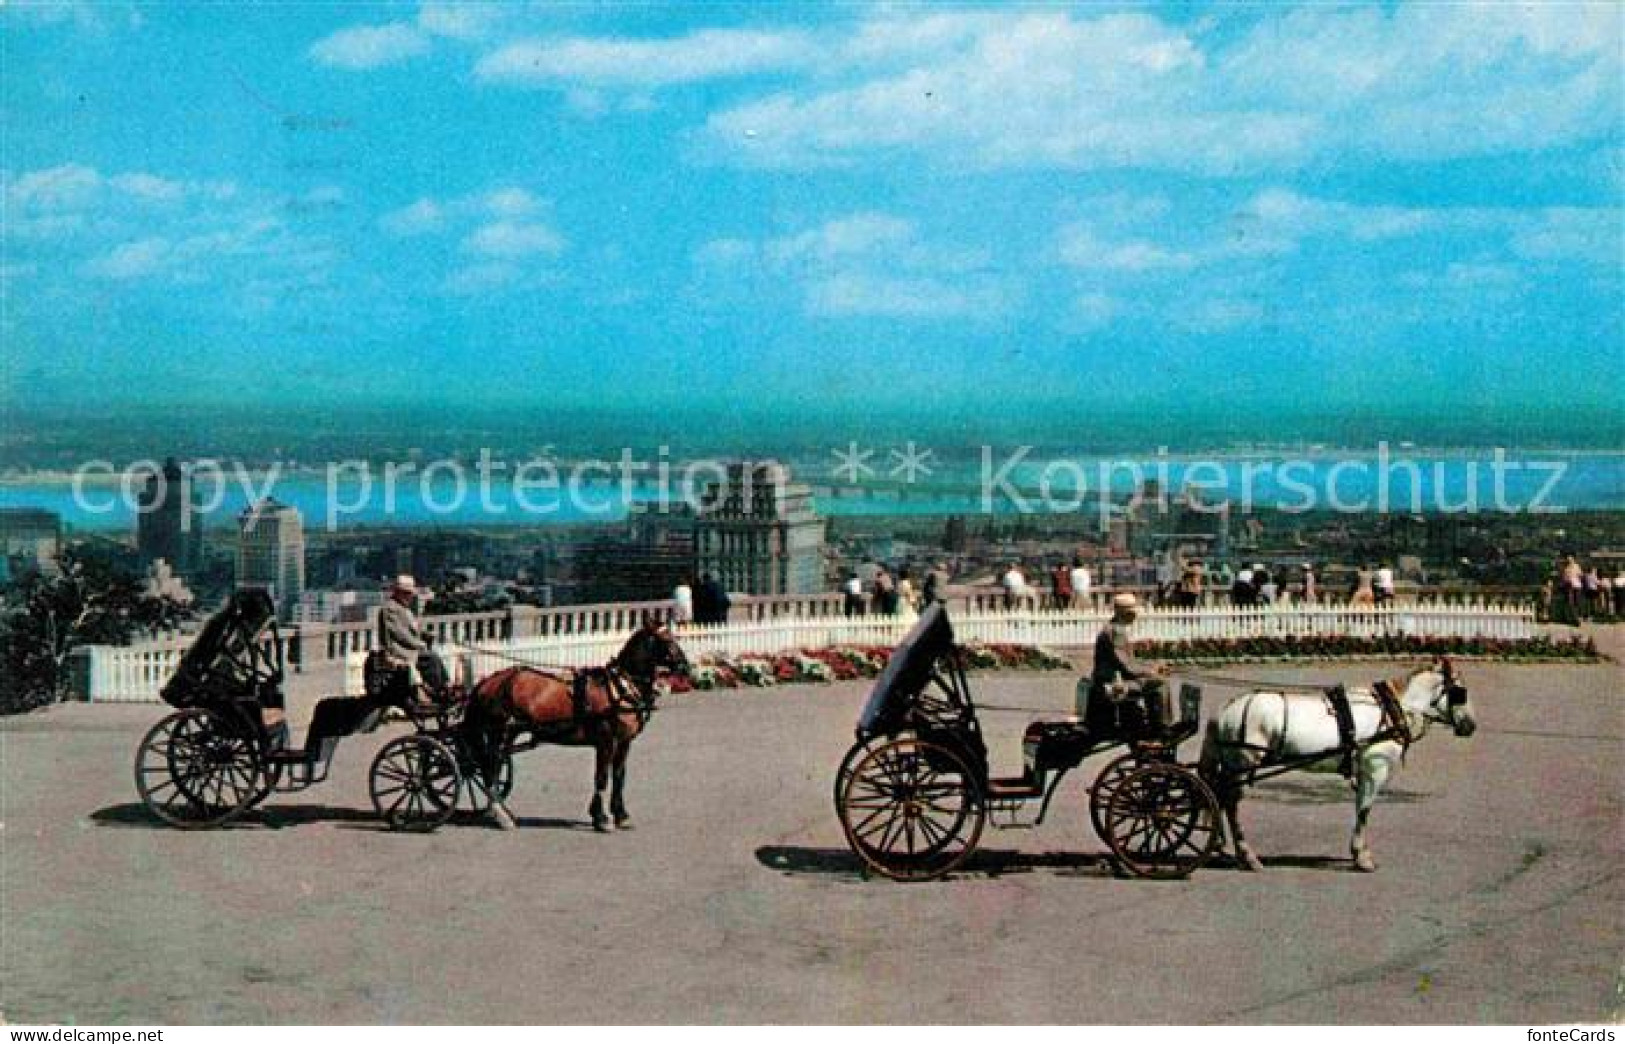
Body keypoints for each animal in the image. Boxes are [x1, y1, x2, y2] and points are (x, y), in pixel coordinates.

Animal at [461, 617, 689, 829]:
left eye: (674, 637)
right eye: (666, 640)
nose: (686, 667)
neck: (619, 688)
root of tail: (488, 682)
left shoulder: (624, 742)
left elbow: (619, 776)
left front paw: (621, 815)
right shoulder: (606, 742)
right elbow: (601, 777)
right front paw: (601, 818)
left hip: (506, 736)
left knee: (493, 768)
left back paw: (499, 811)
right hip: (498, 734)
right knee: (490, 770)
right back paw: (501, 815)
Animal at [1202, 656, 1482, 871]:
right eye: (1461, 692)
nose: (1470, 725)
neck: (1391, 710)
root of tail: (1226, 710)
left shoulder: (1364, 772)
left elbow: (1360, 807)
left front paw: (1358, 852)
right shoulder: (1375, 770)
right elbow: (1365, 811)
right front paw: (1362, 857)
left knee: (1220, 799)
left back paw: (1222, 848)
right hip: (1242, 765)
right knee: (1230, 804)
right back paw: (1246, 855)